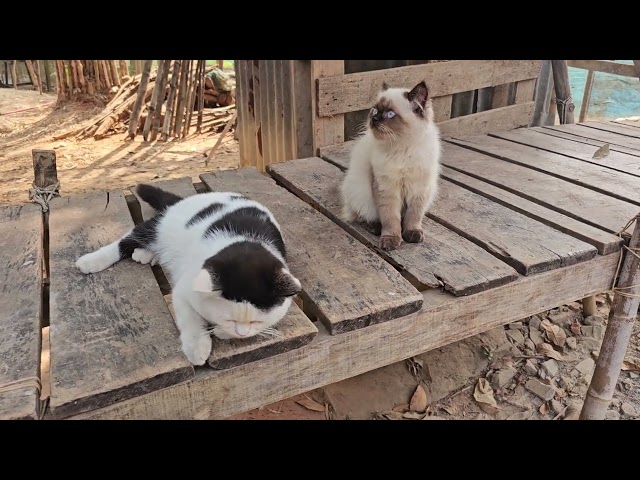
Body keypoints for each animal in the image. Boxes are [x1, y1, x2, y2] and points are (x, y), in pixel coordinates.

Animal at [75, 184, 302, 364]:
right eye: (229, 318)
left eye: (256, 322)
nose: (242, 333)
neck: (245, 242)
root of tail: (186, 199)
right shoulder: (185, 289)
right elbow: (191, 318)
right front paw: (197, 347)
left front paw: (221, 331)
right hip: (158, 227)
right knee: (127, 240)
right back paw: (92, 260)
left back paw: (147, 254)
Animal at [340, 79, 440, 251]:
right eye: (374, 111)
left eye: (390, 114)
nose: (374, 119)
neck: (402, 149)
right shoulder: (386, 188)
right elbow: (390, 218)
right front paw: (391, 239)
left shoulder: (420, 188)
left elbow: (414, 216)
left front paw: (412, 234)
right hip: (361, 192)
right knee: (363, 215)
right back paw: (376, 228)